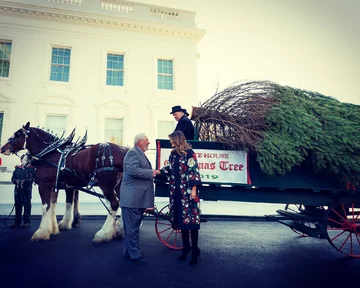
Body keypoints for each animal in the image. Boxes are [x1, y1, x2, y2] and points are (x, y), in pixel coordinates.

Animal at [0, 121, 128, 243]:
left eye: (17, 134)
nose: (2, 148)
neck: (49, 153)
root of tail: (122, 150)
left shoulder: (44, 185)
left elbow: (45, 207)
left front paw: (41, 232)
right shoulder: (55, 186)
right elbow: (53, 206)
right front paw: (53, 229)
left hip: (106, 185)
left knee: (114, 204)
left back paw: (103, 234)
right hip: (119, 186)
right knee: (123, 203)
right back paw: (119, 230)